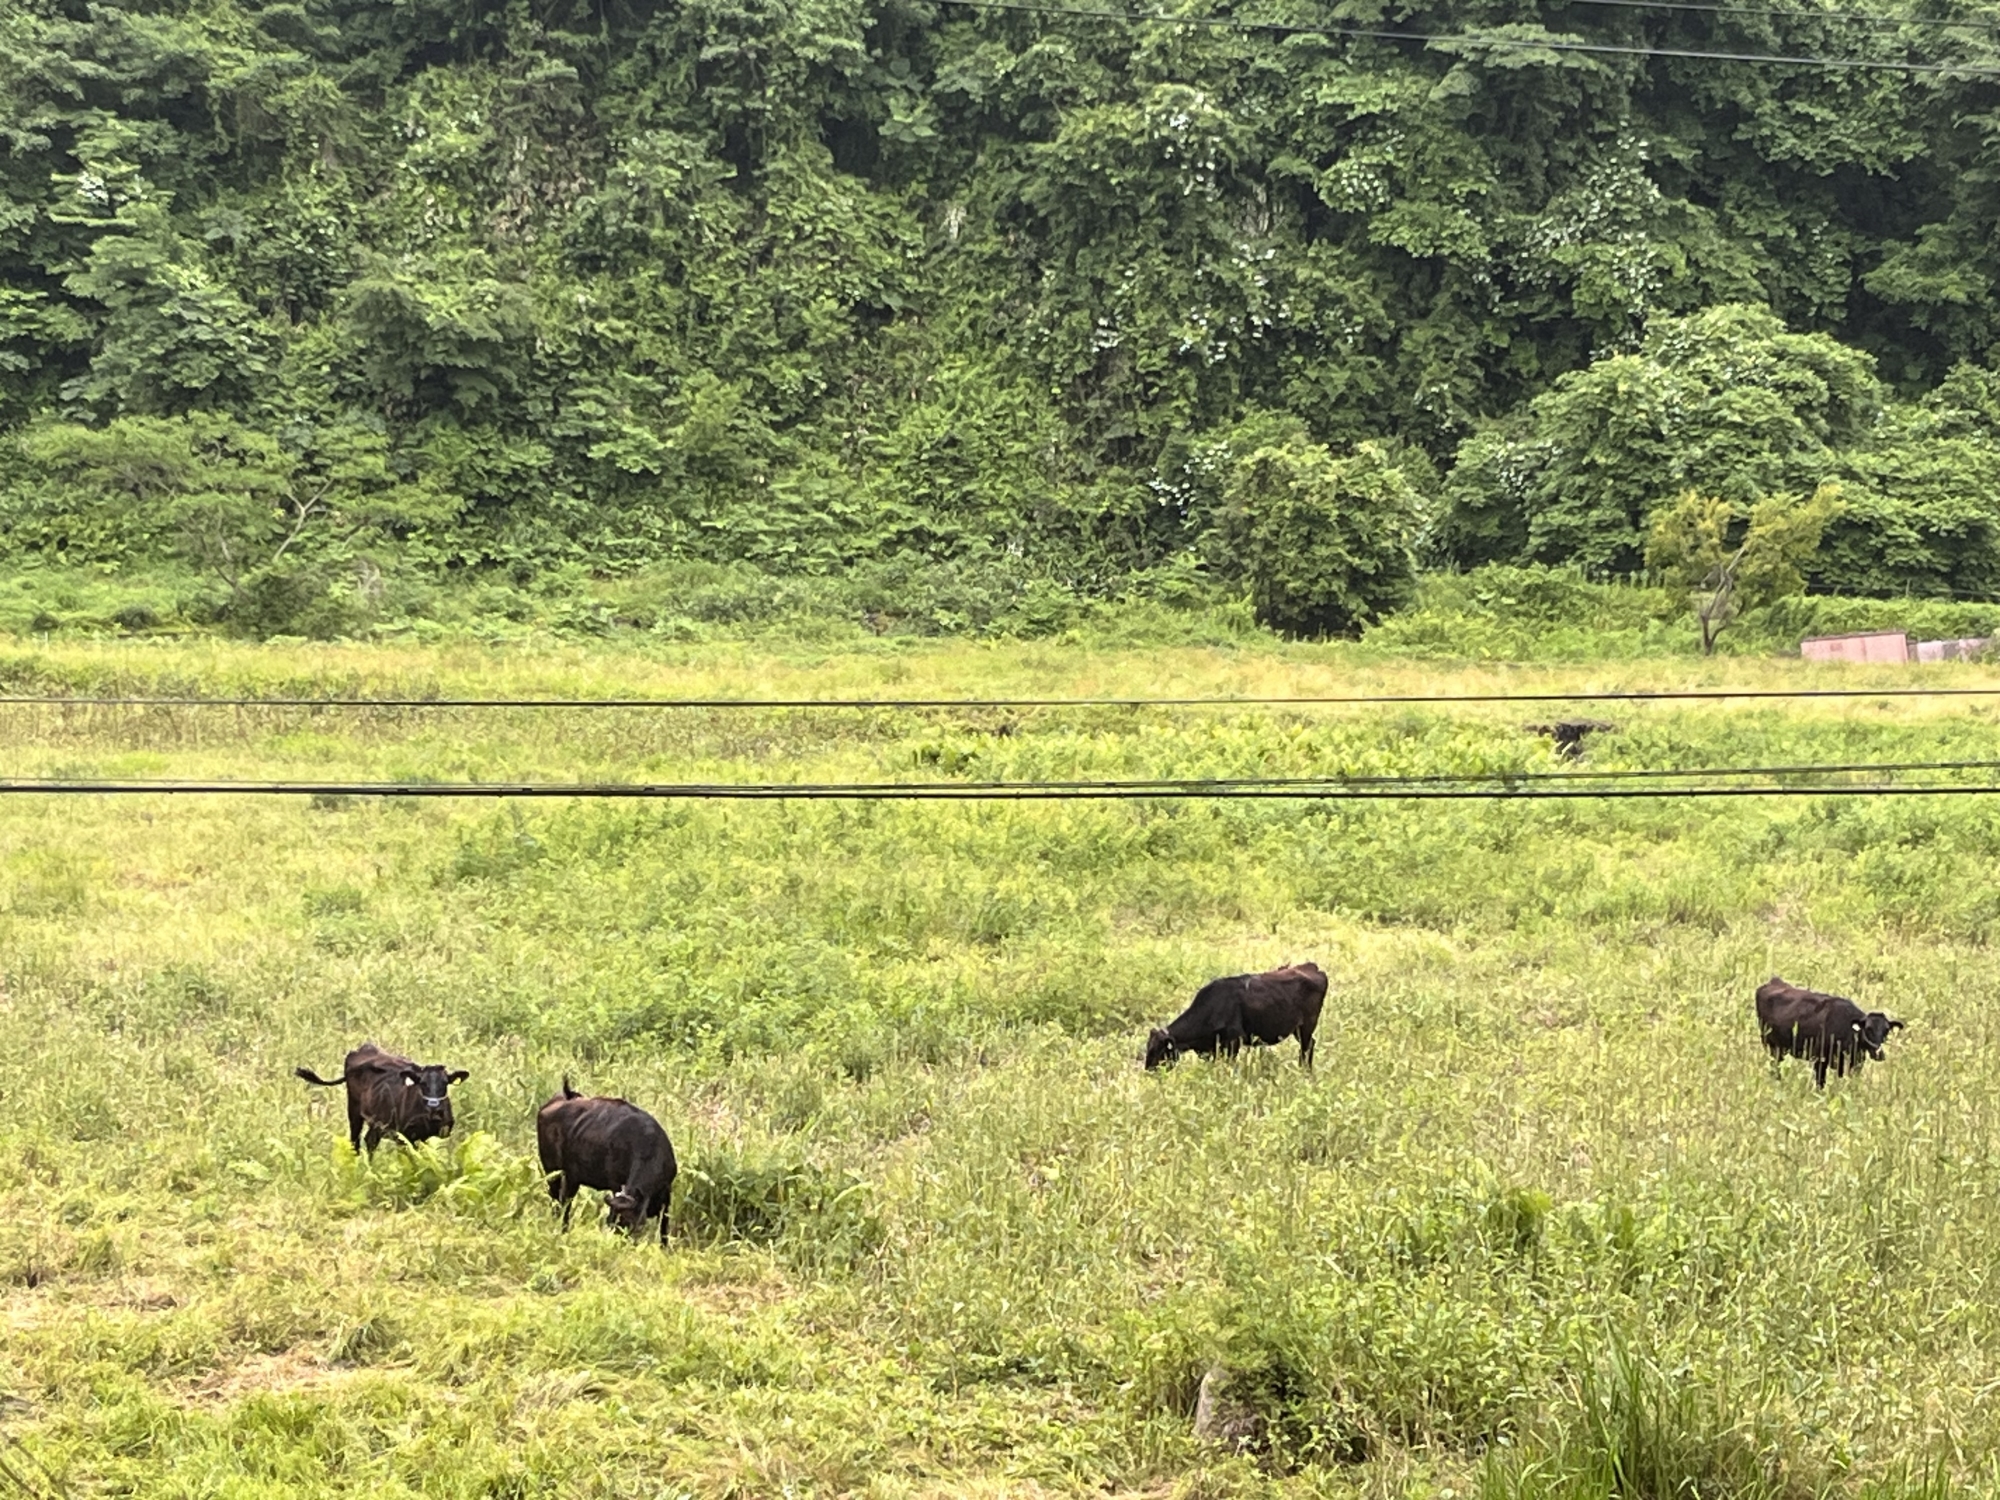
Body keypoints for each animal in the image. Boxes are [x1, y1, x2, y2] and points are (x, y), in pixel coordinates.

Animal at [295, 1042, 468, 1152]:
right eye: (422, 1083)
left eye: (445, 1083)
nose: (434, 1106)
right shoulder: (407, 1136)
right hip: (354, 1110)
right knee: (356, 1141)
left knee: (370, 1140)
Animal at [536, 1079, 678, 1245]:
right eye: (617, 1223)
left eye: (636, 1224)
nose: (622, 1242)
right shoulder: (615, 1185)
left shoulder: (667, 1194)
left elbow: (664, 1229)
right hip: (552, 1172)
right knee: (559, 1202)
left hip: (571, 1178)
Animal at [1145, 962, 1329, 1071]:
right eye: (1148, 1047)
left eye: (1158, 1050)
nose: (1148, 1070)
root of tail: (1312, 967)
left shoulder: (1234, 1041)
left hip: (1306, 1027)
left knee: (1307, 1047)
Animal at [1755, 976, 1905, 1089]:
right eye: (1868, 1029)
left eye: (1886, 1030)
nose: (1879, 1054)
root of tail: (1773, 981)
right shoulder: (1820, 1059)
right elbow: (1820, 1084)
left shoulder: (1856, 1063)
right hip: (1771, 1045)